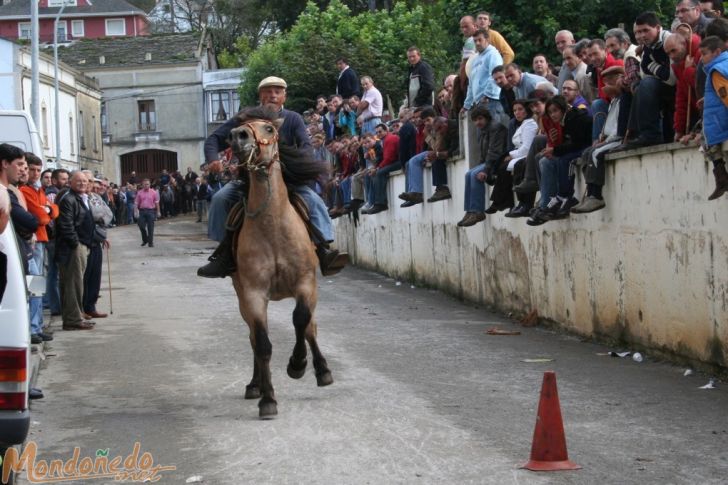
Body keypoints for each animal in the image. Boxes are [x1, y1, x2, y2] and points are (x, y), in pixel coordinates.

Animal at [229, 108, 334, 418]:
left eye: (269, 129)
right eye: (238, 126)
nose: (238, 137)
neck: (272, 226)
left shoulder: (306, 283)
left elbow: (301, 322)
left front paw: (297, 365)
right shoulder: (253, 294)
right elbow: (262, 344)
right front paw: (267, 398)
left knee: (310, 327)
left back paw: (322, 370)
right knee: (253, 338)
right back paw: (255, 385)